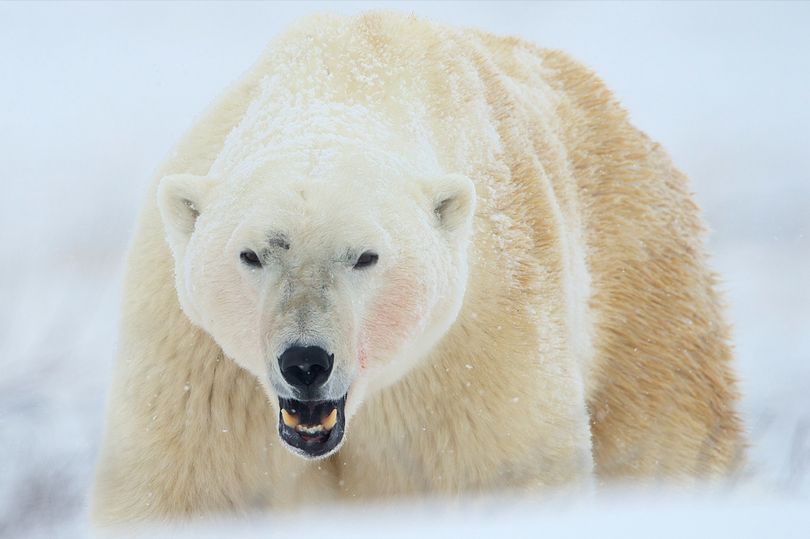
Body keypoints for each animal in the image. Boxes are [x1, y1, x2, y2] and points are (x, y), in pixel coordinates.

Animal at [91, 13, 740, 528]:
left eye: (365, 256)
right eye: (252, 254)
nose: (305, 362)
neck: (345, 77)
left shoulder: (479, 335)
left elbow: (506, 471)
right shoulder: (196, 363)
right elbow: (183, 486)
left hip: (644, 299)